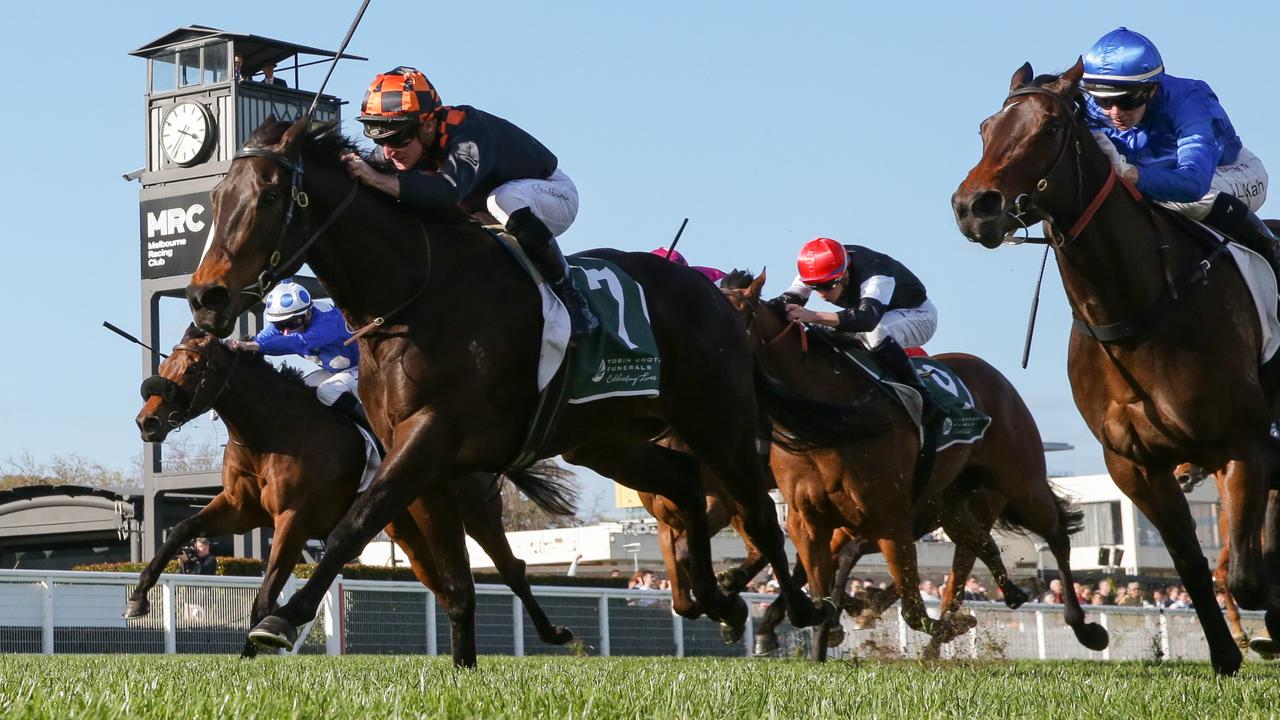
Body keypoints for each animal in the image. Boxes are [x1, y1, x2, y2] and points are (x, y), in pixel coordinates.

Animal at [129, 325, 570, 661]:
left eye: (191, 368)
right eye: (163, 365)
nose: (147, 422)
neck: (272, 429)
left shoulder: (294, 518)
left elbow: (265, 596)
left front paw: (253, 652)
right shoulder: (240, 508)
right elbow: (182, 529)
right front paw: (138, 597)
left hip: (476, 509)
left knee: (513, 568)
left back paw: (554, 633)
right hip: (409, 530)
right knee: (443, 583)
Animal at [183, 117, 890, 645]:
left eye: (269, 197)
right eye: (214, 200)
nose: (205, 297)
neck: (417, 292)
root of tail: (719, 299)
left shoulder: (431, 437)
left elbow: (356, 520)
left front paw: (281, 619)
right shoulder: (425, 462)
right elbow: (448, 578)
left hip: (720, 421)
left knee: (761, 517)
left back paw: (803, 611)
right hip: (606, 441)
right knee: (686, 485)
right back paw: (714, 602)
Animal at [721, 269, 1111, 650]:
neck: (829, 419)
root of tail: (993, 375)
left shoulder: (889, 520)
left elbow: (912, 611)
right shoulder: (808, 521)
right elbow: (818, 597)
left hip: (1019, 480)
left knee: (1055, 536)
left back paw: (1085, 628)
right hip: (950, 503)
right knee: (977, 545)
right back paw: (1009, 594)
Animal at [952, 57, 1280, 671]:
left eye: (1050, 128)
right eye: (985, 127)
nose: (972, 207)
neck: (1135, 312)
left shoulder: (1241, 445)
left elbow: (1246, 575)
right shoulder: (1133, 465)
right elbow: (1195, 566)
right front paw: (1226, 655)